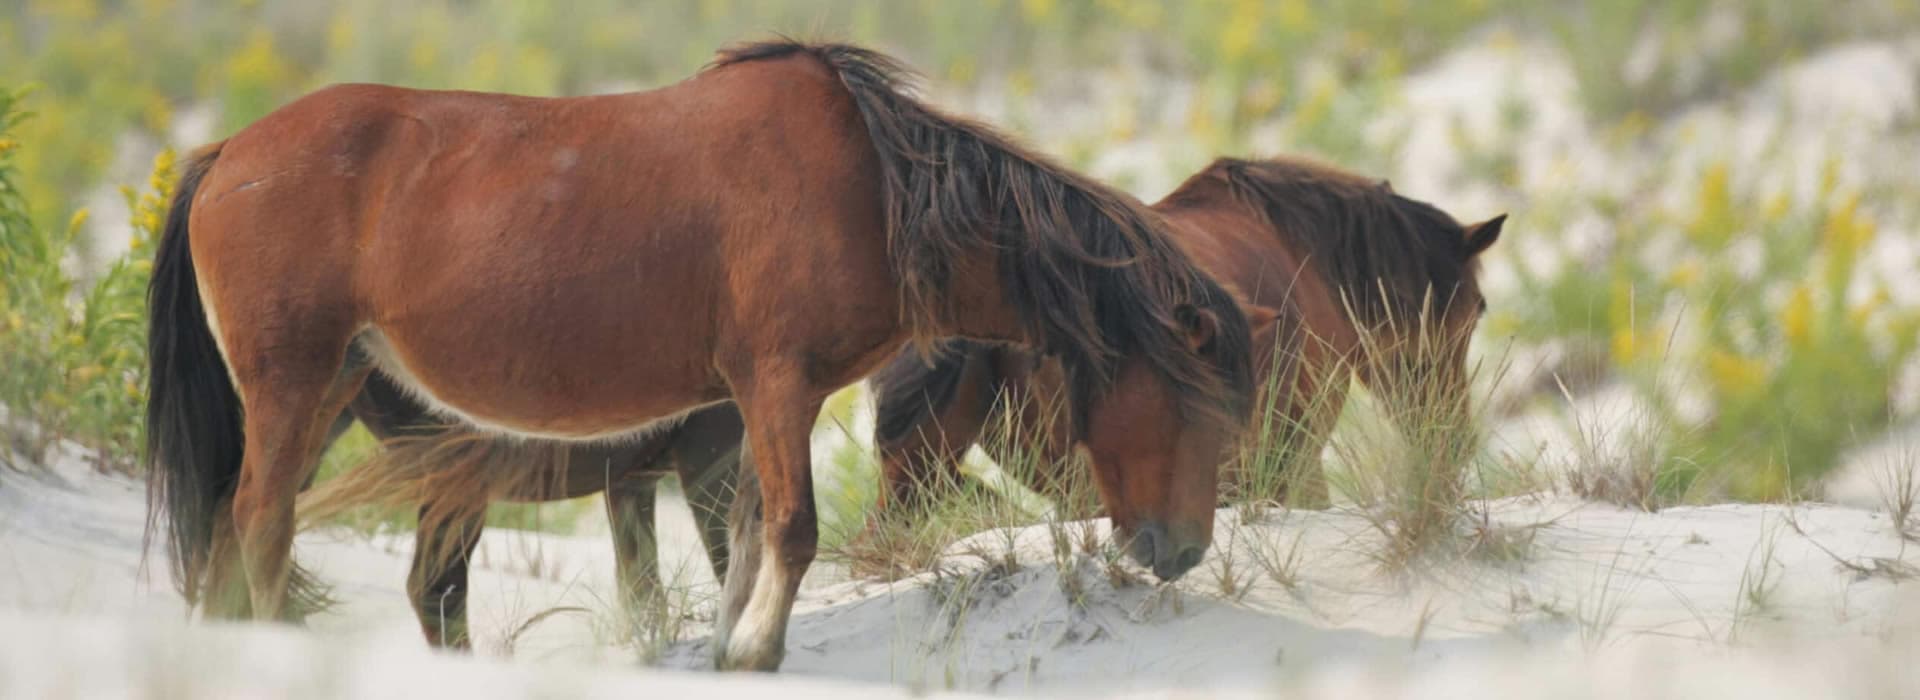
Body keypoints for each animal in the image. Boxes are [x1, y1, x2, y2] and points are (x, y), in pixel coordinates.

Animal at [143, 39, 1254, 671]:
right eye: (1198, 404)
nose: (1180, 550)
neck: (873, 191)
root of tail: (227, 154)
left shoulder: (762, 404)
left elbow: (752, 536)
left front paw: (726, 641)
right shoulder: (774, 383)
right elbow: (792, 531)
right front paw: (757, 648)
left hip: (329, 386)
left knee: (235, 523)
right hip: (292, 381)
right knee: (261, 521)